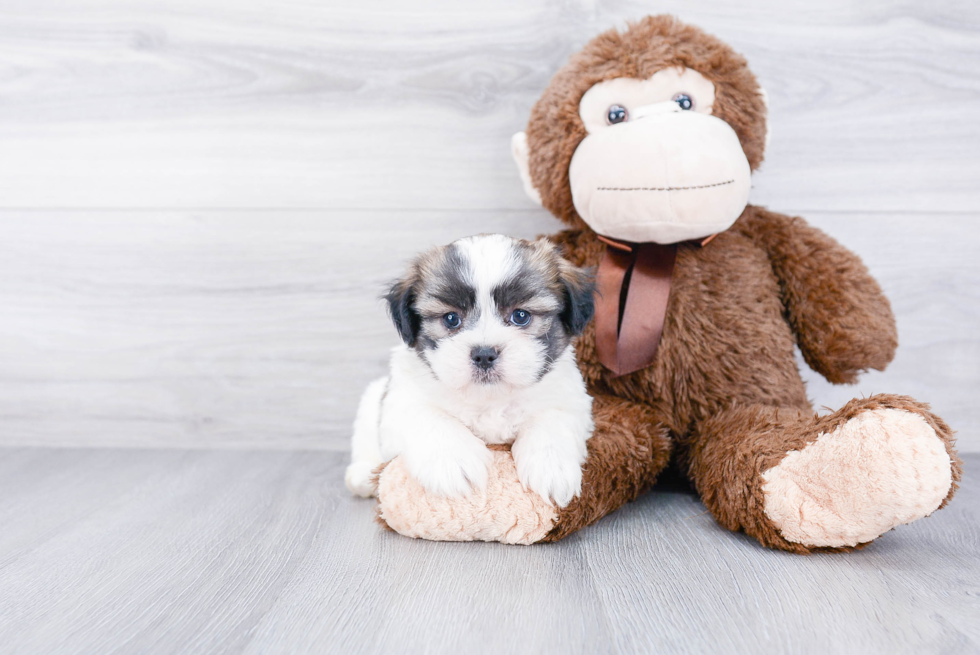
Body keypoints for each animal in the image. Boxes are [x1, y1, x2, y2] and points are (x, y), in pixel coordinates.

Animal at [346, 234, 596, 508]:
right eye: (451, 319)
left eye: (521, 316)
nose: (484, 354)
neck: (489, 400)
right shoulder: (401, 399)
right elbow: (428, 416)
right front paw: (452, 460)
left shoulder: (570, 399)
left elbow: (552, 420)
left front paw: (550, 466)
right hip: (371, 399)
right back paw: (363, 475)